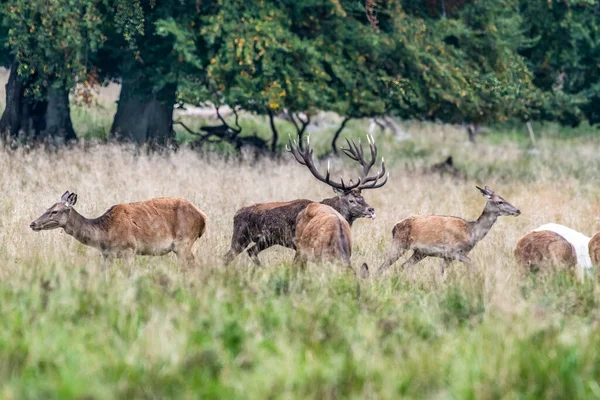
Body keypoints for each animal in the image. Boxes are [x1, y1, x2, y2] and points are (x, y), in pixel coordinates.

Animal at [30, 191, 209, 268]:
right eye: (48, 207)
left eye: (54, 211)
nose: (32, 223)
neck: (104, 234)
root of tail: (203, 217)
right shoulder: (107, 254)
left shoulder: (130, 249)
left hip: (183, 242)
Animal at [225, 135, 390, 266]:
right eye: (351, 200)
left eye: (363, 197)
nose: (371, 210)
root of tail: (236, 214)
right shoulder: (299, 247)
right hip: (240, 236)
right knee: (227, 256)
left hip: (266, 239)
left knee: (251, 252)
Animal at [376, 186, 520, 276]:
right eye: (500, 201)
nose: (518, 210)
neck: (472, 233)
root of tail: (395, 227)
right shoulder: (453, 251)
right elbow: (471, 263)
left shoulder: (447, 257)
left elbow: (442, 272)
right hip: (399, 244)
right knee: (383, 267)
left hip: (420, 252)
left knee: (404, 266)